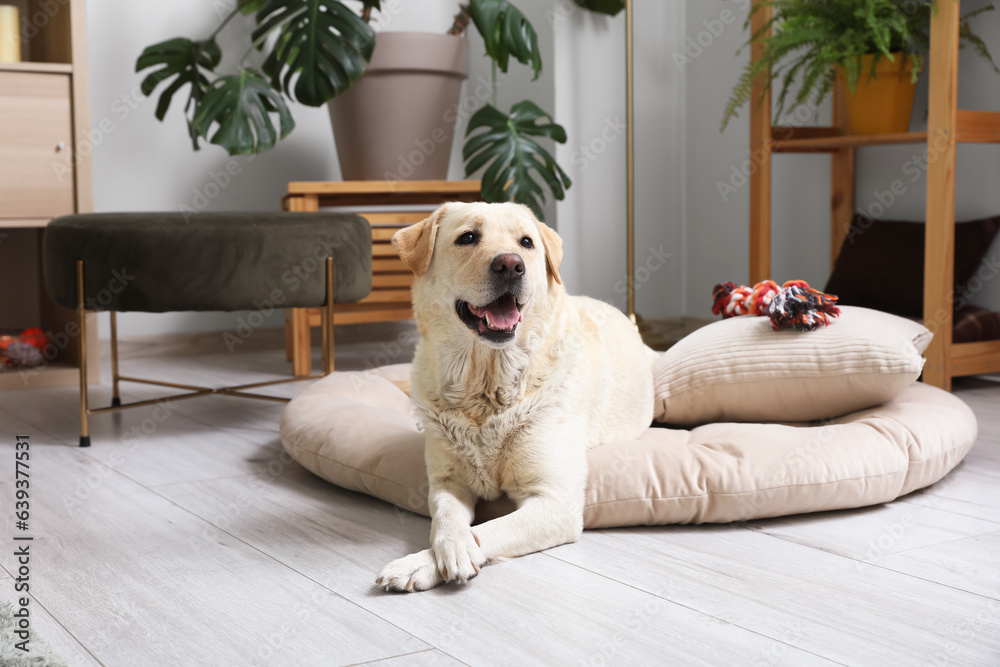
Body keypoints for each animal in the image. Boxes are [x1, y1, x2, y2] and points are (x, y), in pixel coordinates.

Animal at [378, 201, 652, 592]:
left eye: (526, 242)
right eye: (467, 237)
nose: (510, 265)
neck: (488, 383)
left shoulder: (556, 501)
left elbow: (488, 529)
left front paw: (425, 562)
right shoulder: (447, 482)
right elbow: (445, 520)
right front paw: (446, 548)